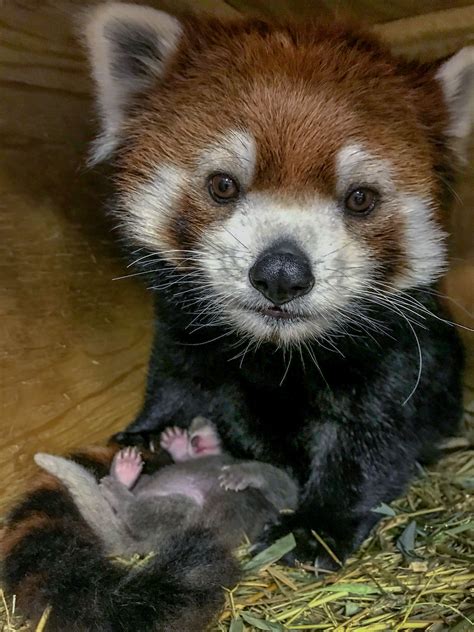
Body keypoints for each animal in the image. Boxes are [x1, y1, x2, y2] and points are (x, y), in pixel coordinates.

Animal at [1, 4, 472, 632]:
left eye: (360, 199)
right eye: (223, 185)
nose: (282, 274)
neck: (275, 353)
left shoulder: (399, 362)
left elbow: (375, 443)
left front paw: (315, 527)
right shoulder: (185, 339)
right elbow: (177, 382)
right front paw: (149, 434)